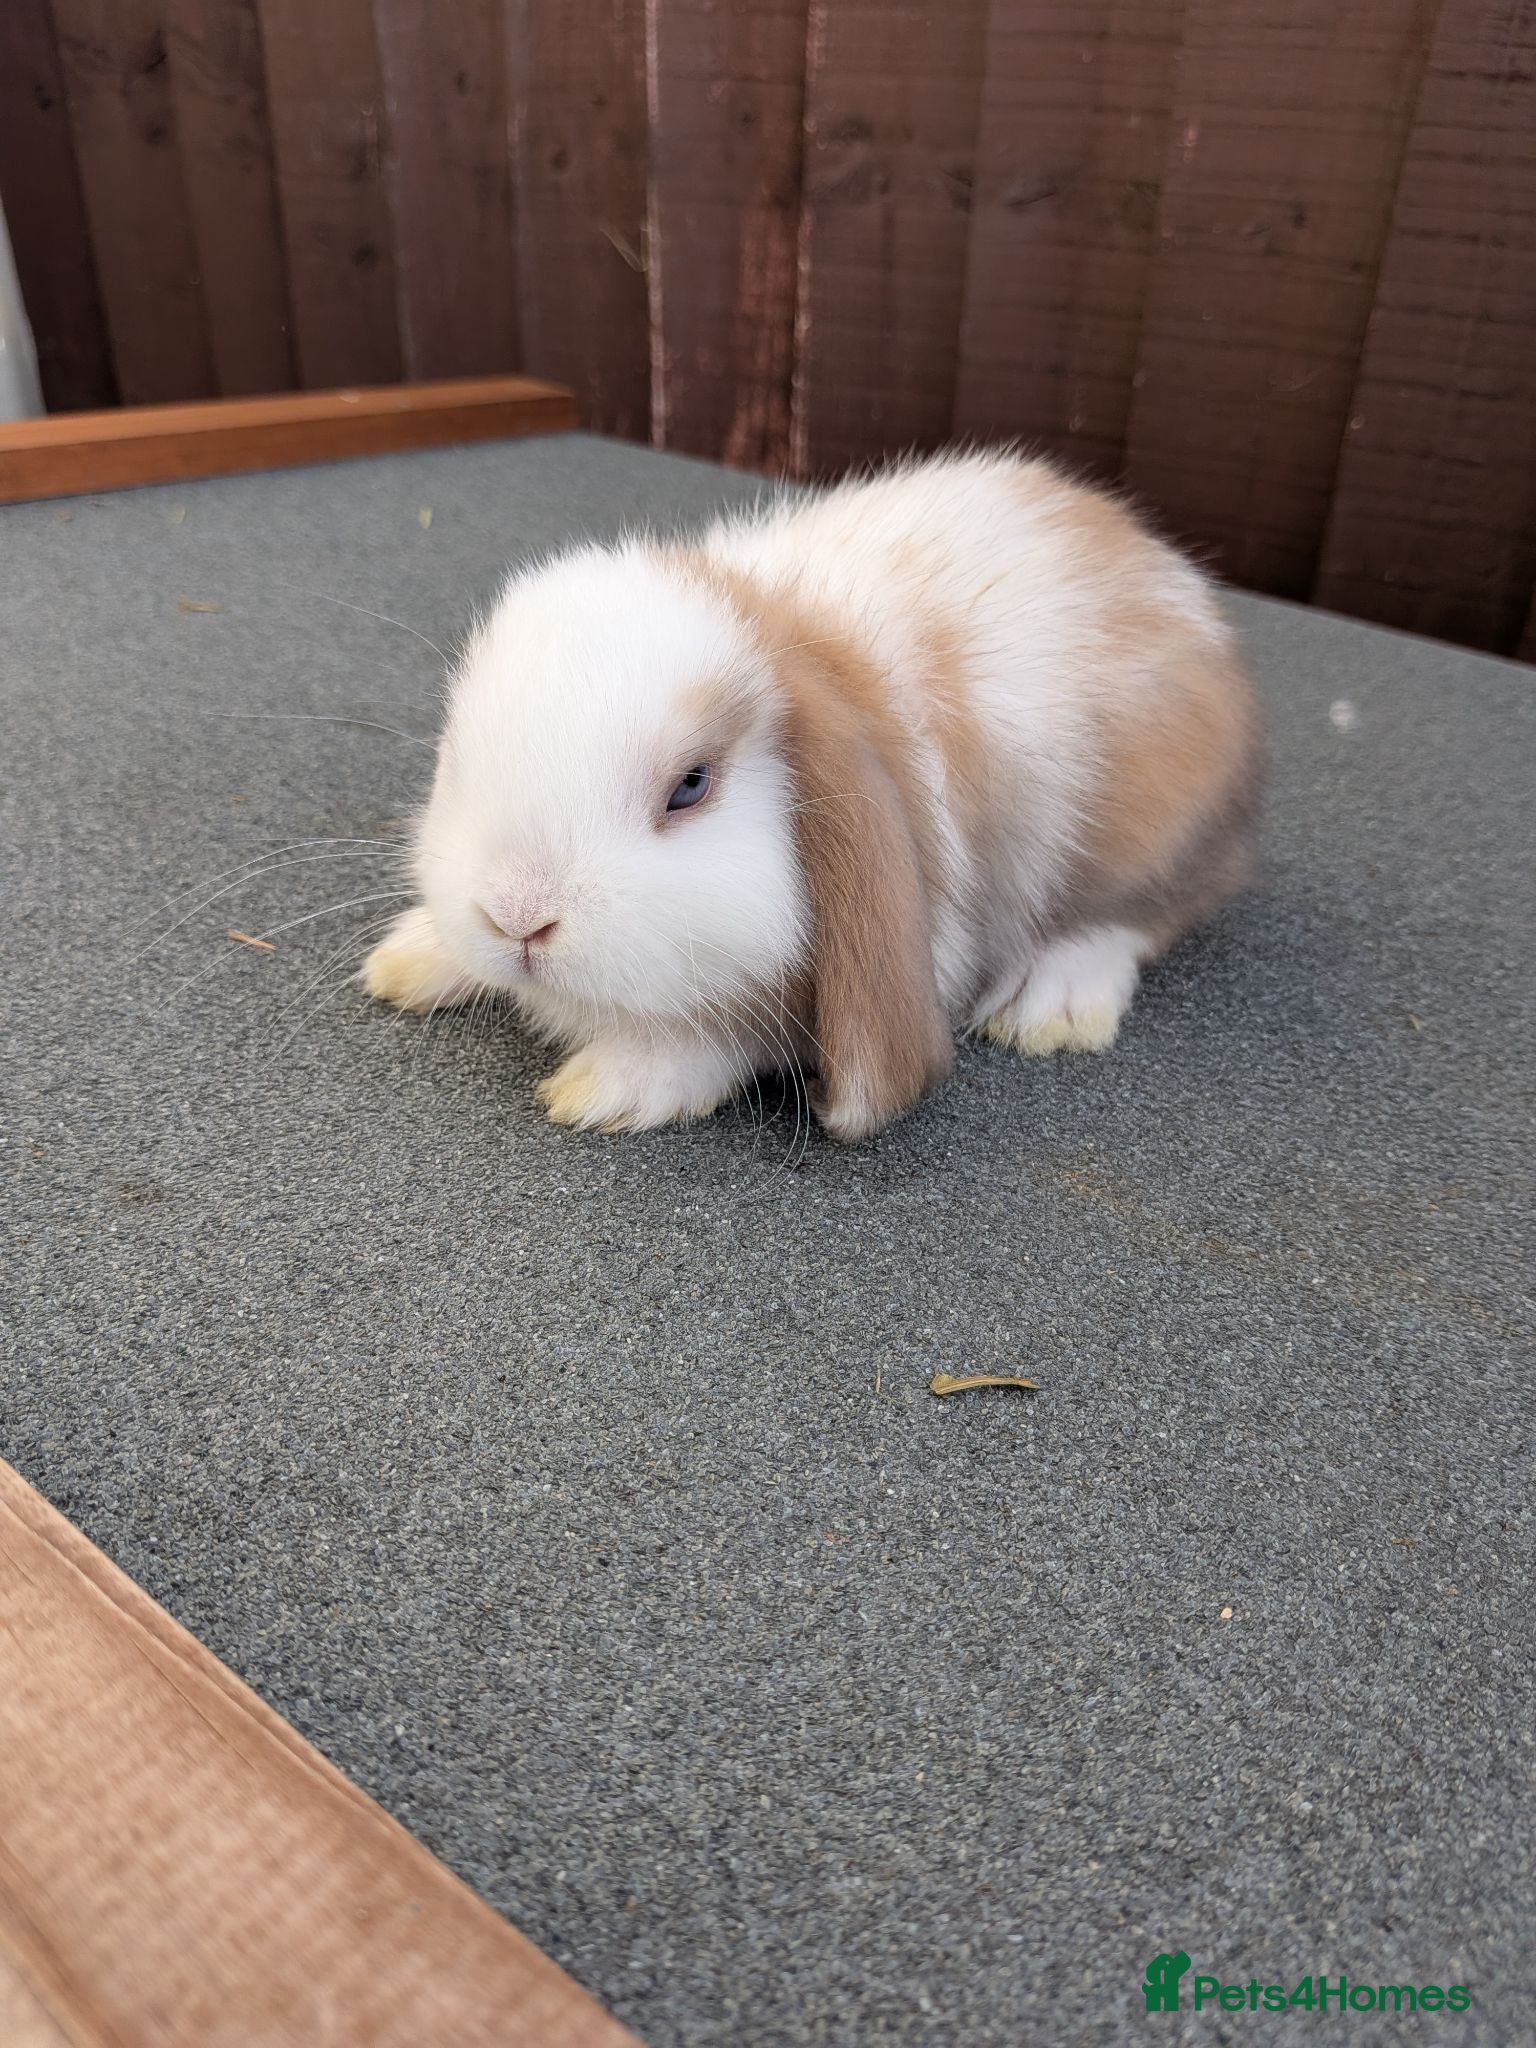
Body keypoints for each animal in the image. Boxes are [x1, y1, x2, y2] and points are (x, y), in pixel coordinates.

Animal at [364, 450, 1261, 1139]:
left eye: (691, 787)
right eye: (456, 754)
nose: (517, 919)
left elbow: (725, 1036)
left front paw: (614, 1085)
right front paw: (411, 956)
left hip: (1151, 840)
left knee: (1138, 921)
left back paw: (1051, 1007)